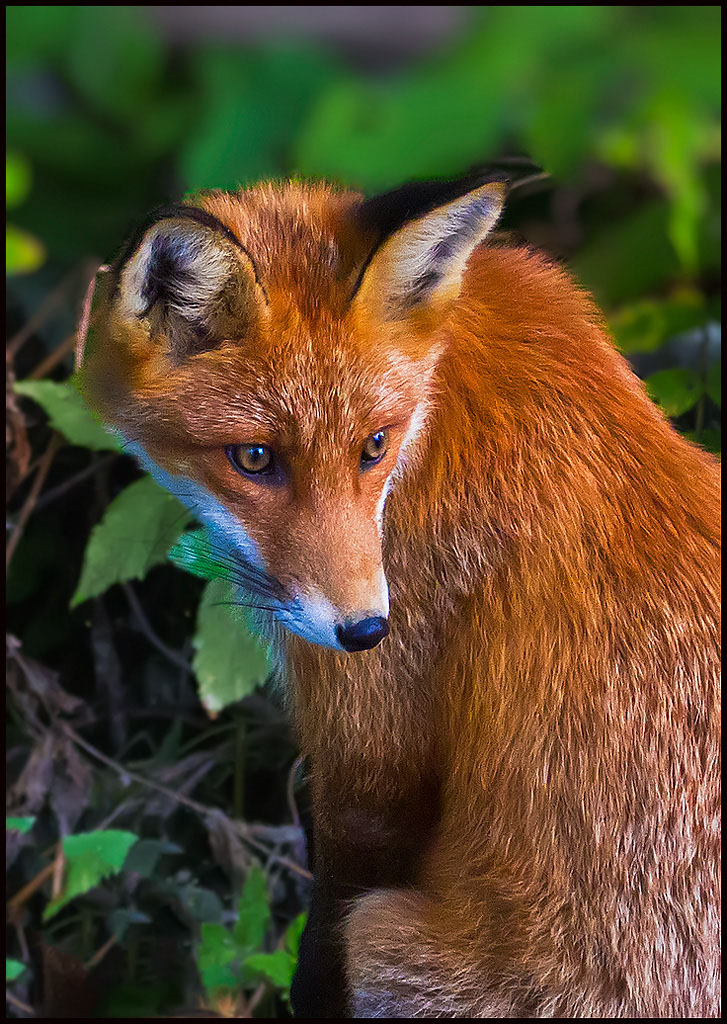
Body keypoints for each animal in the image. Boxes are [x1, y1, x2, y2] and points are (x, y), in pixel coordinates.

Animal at [81, 174, 724, 1015]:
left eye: (373, 447)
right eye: (253, 458)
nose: (362, 630)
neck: (437, 408)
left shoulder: (371, 748)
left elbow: (326, 922)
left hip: (386, 939)